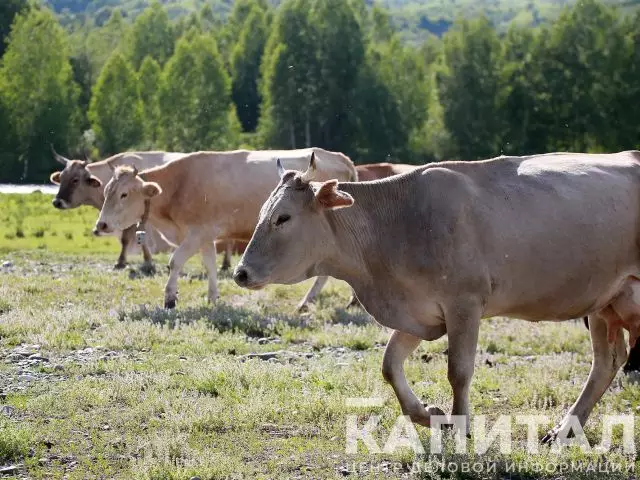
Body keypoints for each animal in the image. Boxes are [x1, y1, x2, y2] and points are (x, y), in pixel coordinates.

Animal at [93, 148, 358, 310]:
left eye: (124, 194)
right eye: (106, 191)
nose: (101, 224)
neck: (181, 184)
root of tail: (340, 157)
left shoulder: (196, 233)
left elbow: (175, 261)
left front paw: (169, 298)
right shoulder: (206, 235)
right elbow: (209, 263)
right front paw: (212, 297)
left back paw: (309, 301)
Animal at [232, 151, 640, 442]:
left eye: (283, 218)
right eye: (263, 213)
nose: (240, 272)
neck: (397, 223)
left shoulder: (464, 304)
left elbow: (458, 371)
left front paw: (460, 425)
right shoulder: (420, 313)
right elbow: (389, 365)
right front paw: (431, 416)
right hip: (605, 302)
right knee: (606, 363)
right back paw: (564, 430)